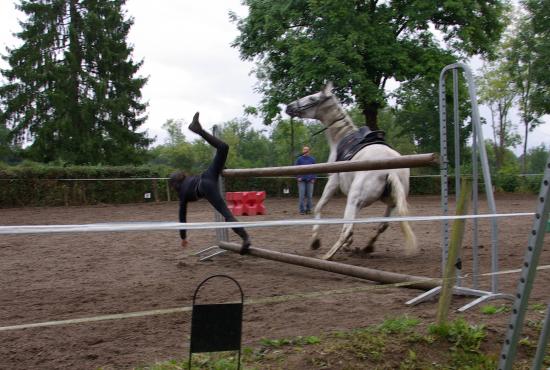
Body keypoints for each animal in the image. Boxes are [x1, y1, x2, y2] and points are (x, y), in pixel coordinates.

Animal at [284, 81, 418, 260]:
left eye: (312, 98)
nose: (289, 107)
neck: (342, 137)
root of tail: (391, 170)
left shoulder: (333, 182)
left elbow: (319, 207)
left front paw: (315, 241)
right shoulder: (358, 202)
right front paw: (350, 244)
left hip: (354, 199)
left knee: (346, 230)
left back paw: (328, 256)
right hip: (390, 203)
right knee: (382, 226)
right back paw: (367, 247)